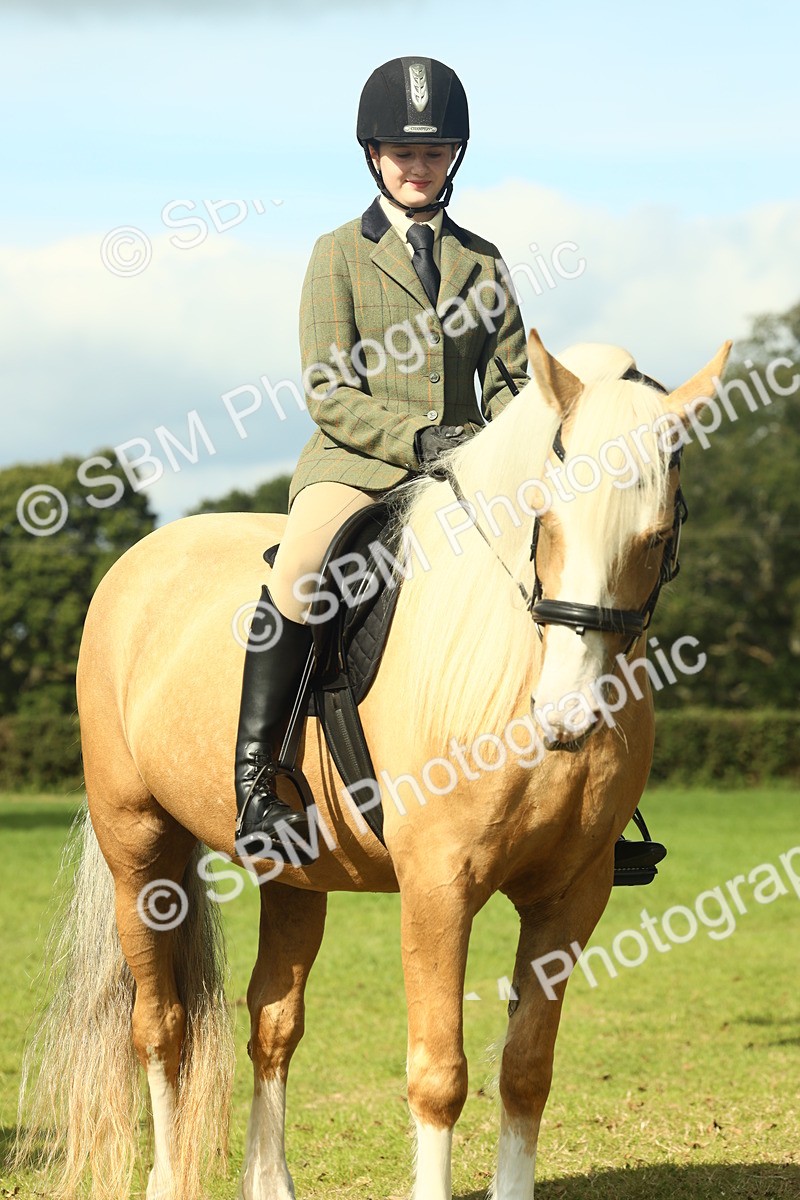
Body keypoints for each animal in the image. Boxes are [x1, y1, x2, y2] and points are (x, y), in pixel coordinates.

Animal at [15, 330, 730, 1200]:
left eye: (657, 539)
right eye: (546, 519)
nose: (566, 716)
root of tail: (137, 562)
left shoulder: (572, 895)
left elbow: (526, 1071)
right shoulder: (437, 887)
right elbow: (440, 1076)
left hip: (294, 873)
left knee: (273, 1021)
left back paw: (270, 1181)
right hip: (139, 851)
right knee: (159, 1028)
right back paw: (170, 1177)